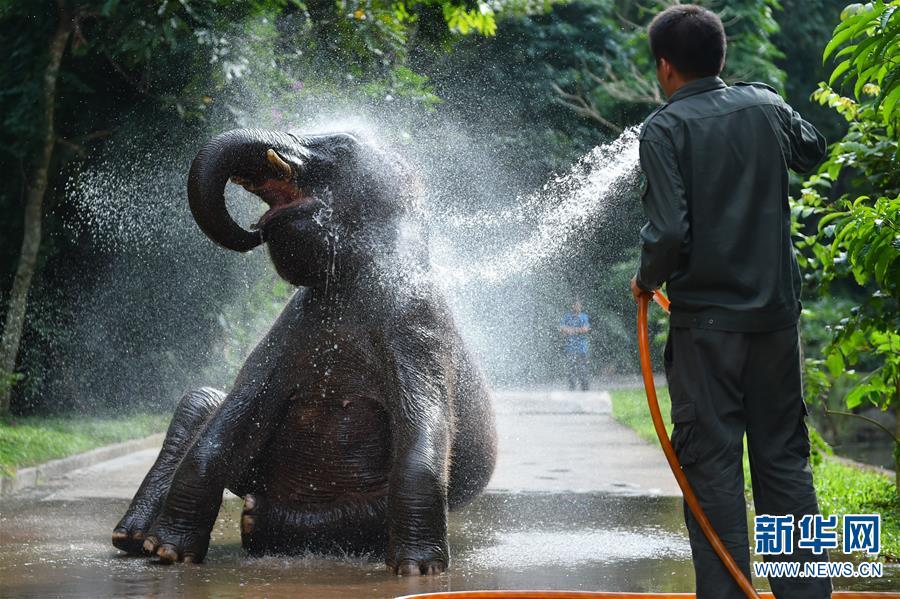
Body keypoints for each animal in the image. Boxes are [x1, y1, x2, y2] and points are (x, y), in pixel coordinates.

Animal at [111, 128, 497, 575]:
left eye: (342, 147)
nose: (251, 230)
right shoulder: (287, 329)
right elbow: (233, 416)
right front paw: (167, 552)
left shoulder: (418, 324)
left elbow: (424, 431)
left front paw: (418, 570)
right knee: (201, 400)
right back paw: (133, 537)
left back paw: (254, 520)